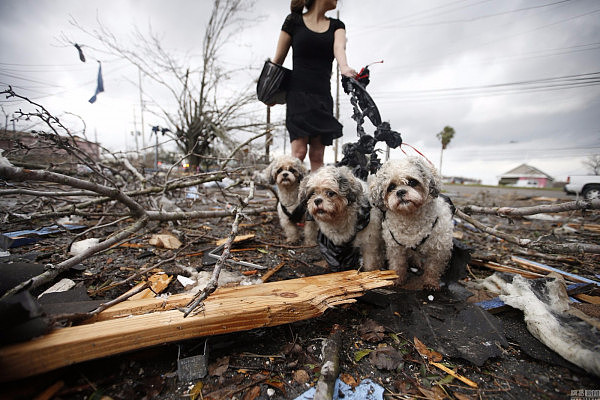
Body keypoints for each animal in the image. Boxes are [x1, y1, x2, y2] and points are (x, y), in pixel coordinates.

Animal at [368, 156, 452, 290]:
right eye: (391, 187)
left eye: (412, 182)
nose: (400, 192)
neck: (410, 218)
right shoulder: (395, 248)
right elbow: (398, 265)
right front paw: (397, 279)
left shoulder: (438, 249)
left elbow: (433, 267)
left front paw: (431, 283)